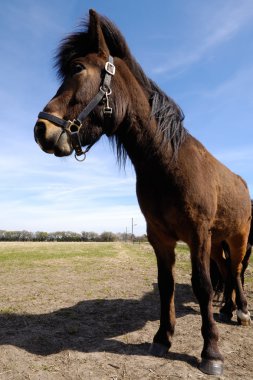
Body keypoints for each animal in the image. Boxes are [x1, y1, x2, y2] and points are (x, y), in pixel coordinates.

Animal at [33, 10, 251, 376]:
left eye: (78, 69)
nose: (41, 129)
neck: (168, 163)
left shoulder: (198, 235)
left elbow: (203, 286)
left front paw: (211, 352)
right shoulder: (159, 237)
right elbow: (166, 285)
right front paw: (163, 338)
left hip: (238, 238)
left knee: (234, 273)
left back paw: (242, 311)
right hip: (220, 239)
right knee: (225, 272)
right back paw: (226, 309)